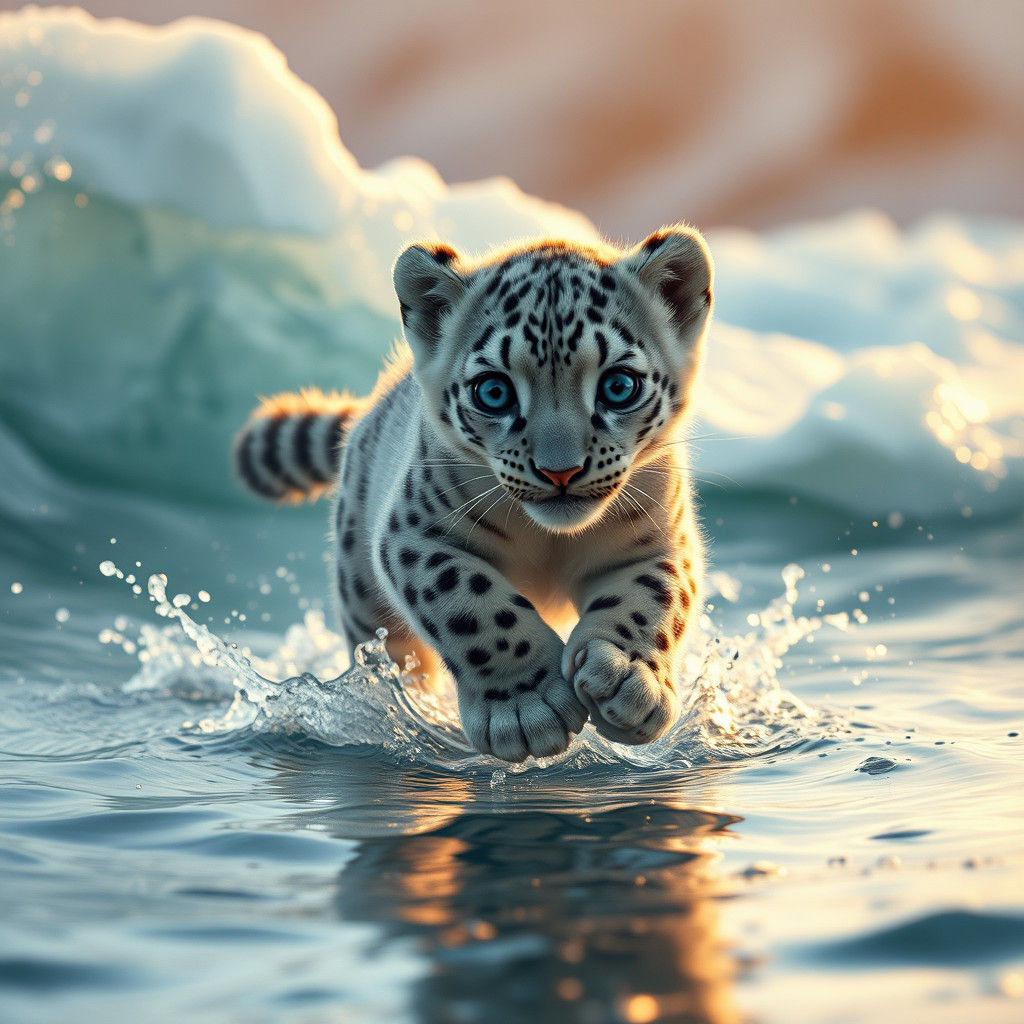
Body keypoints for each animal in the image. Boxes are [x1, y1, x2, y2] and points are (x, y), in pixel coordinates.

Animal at [233, 223, 714, 762]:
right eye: (494, 391)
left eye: (618, 385)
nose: (561, 471)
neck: (550, 540)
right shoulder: (414, 536)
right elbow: (470, 602)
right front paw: (527, 709)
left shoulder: (660, 541)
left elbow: (652, 598)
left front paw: (627, 681)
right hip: (362, 597)